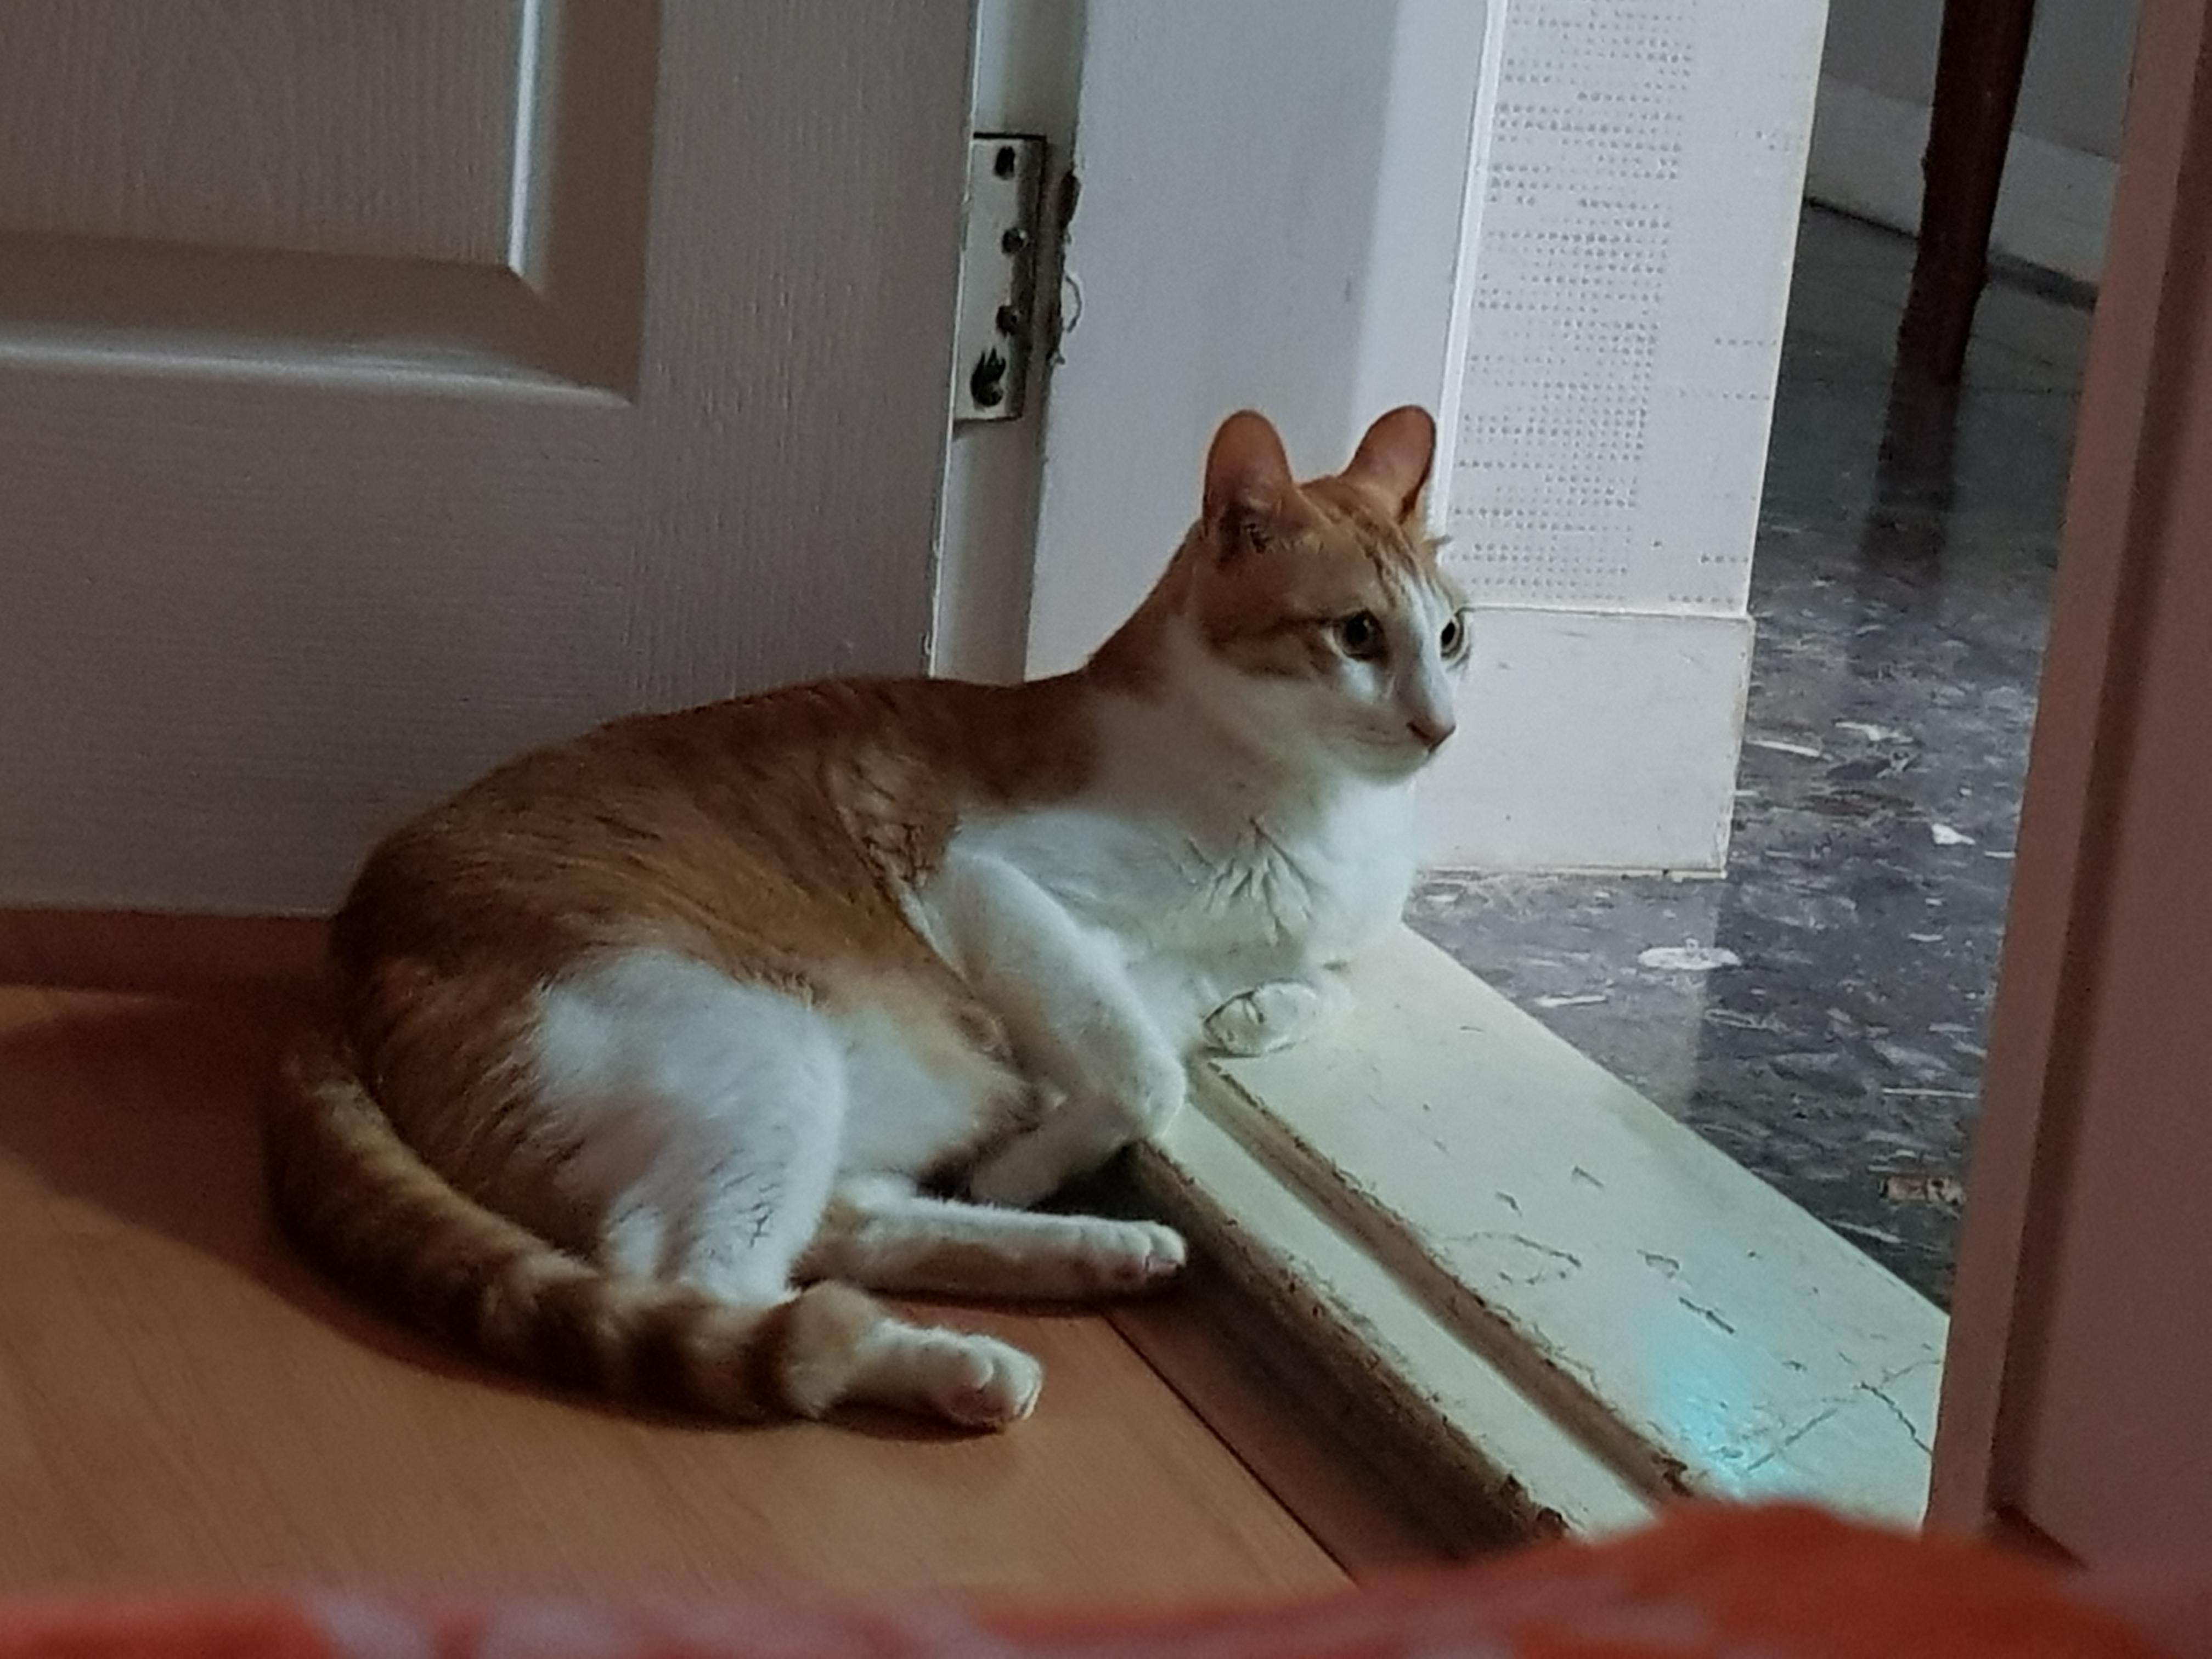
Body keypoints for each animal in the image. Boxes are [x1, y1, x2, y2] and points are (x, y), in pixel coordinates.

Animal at [269, 404, 1470, 1432]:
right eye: (1358, 634)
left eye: (1453, 635)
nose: (1442, 728)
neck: (1317, 814)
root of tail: (349, 942)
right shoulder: (988, 879)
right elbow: (1143, 1072)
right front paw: (1028, 1160)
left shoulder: (1282, 947)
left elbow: (1313, 990)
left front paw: (1246, 1022)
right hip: (756, 1046)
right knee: (712, 1285)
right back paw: (949, 1358)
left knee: (846, 1228)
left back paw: (1097, 1251)